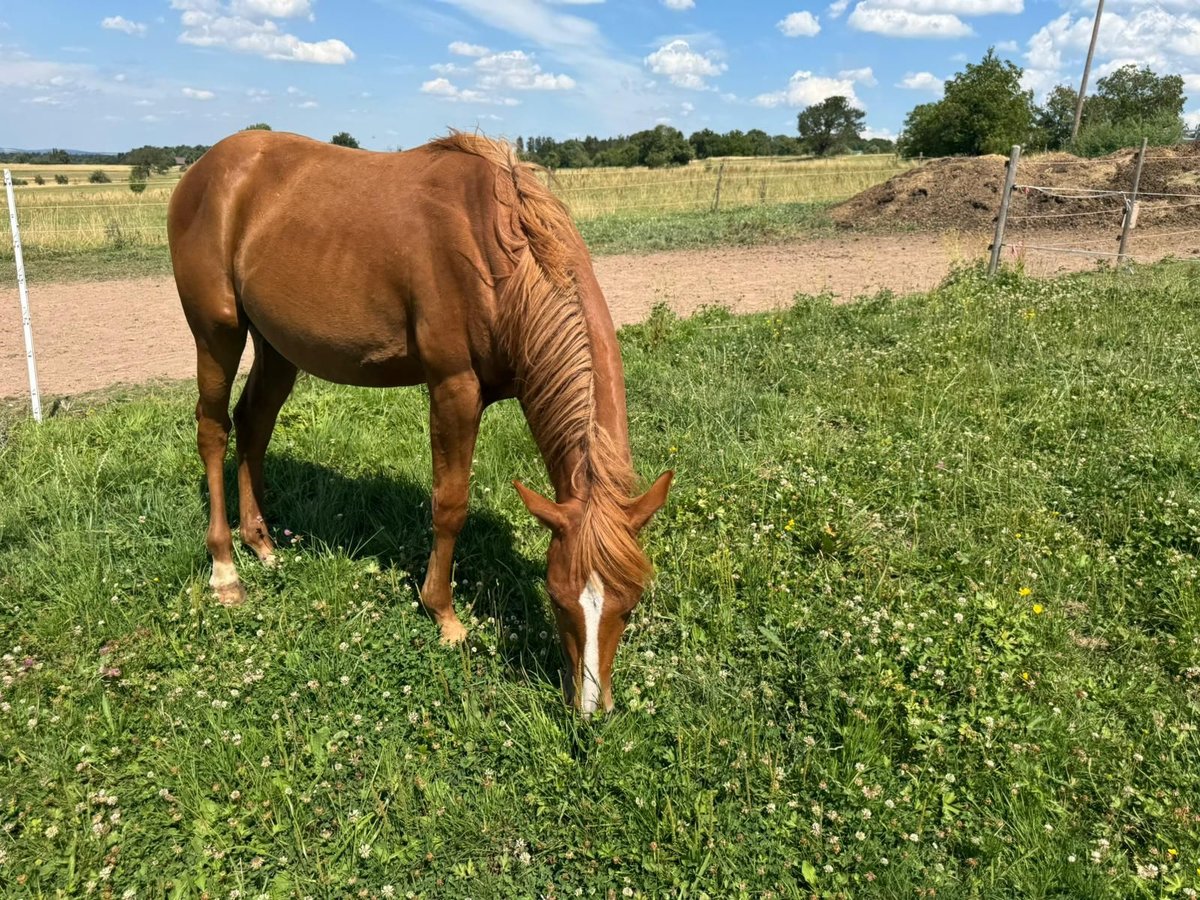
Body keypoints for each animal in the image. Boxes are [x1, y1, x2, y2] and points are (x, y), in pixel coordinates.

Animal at [167, 130, 672, 715]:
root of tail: (207, 168)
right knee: (213, 431)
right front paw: (444, 615)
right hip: (217, 333)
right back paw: (225, 570)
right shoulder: (454, 388)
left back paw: (261, 543)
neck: (495, 251)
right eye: (556, 596)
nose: (590, 709)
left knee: (253, 425)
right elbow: (449, 505)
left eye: (630, 602)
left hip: (277, 346)